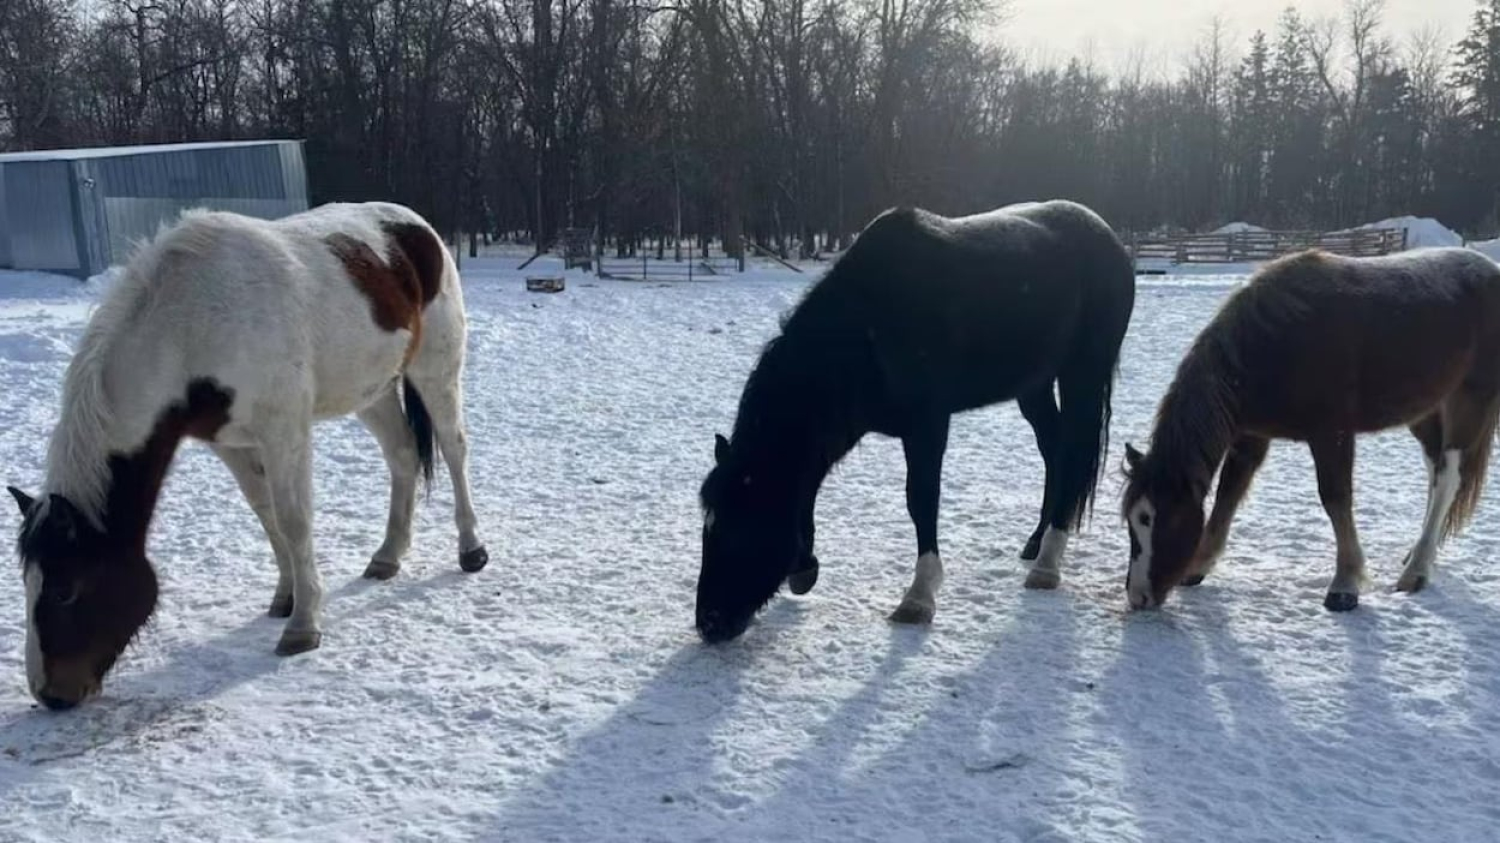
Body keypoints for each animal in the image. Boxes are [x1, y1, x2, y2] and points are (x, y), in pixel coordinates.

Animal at [9, 201, 490, 710]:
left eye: (66, 590)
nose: (50, 694)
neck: (189, 327)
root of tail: (416, 226)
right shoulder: (228, 442)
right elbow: (266, 515)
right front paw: (285, 599)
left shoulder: (283, 430)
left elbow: (294, 520)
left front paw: (303, 627)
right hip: (371, 391)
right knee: (401, 455)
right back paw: (387, 556)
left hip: (436, 370)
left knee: (454, 449)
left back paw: (471, 549)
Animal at [695, 200, 1137, 642]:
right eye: (708, 523)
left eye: (742, 525)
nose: (709, 623)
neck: (869, 329)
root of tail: (1108, 238)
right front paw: (805, 567)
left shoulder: (928, 424)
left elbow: (921, 499)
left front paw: (918, 598)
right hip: (1034, 384)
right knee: (1054, 449)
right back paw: (1035, 542)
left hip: (1082, 373)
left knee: (1074, 453)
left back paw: (1047, 564)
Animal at [1121, 247, 1500, 613]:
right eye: (1132, 521)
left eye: (1154, 520)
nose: (1138, 597)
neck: (1278, 342)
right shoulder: (1250, 437)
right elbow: (1228, 494)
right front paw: (1200, 564)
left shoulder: (1332, 435)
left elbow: (1335, 498)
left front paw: (1345, 584)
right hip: (1424, 412)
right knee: (1435, 471)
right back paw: (1420, 554)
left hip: (1469, 401)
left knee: (1448, 477)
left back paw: (1416, 570)